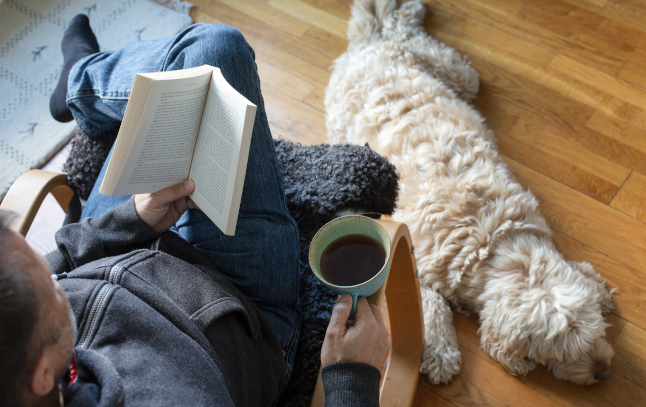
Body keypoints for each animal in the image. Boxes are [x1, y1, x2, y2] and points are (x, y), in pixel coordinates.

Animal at [326, 0, 616, 386]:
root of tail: (370, 45)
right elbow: (432, 309)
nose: (603, 372)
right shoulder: (420, 266)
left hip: (457, 74)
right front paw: (439, 353)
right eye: (562, 353)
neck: (495, 242)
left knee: (406, 31)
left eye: (597, 330)